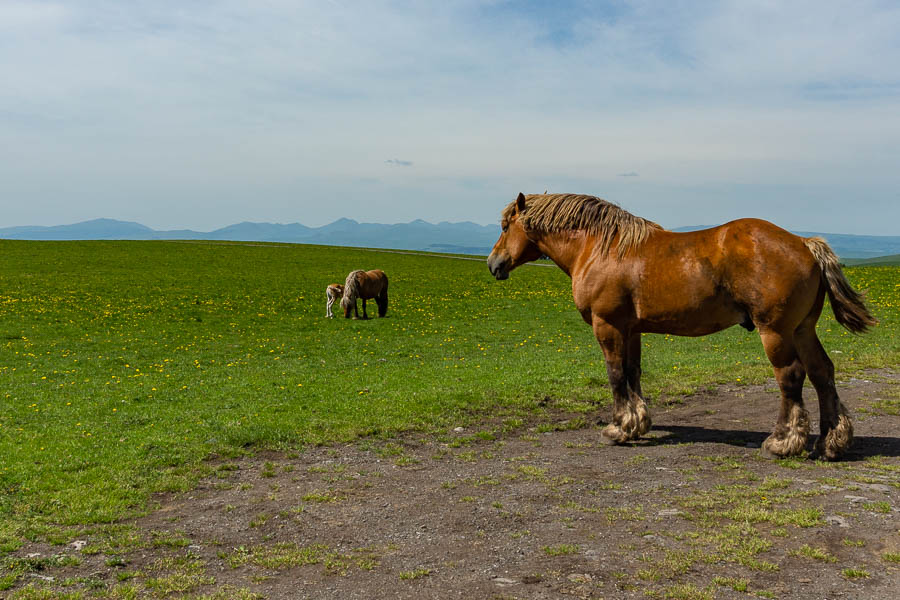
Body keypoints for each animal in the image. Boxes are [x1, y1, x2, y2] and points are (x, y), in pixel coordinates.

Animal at [487, 193, 876, 461]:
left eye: (506, 226)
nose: (494, 264)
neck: (600, 247)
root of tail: (805, 244)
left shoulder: (608, 325)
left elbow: (615, 375)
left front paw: (618, 428)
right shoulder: (632, 329)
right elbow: (633, 372)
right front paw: (637, 424)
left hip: (776, 332)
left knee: (791, 377)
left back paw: (783, 441)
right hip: (802, 329)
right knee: (823, 373)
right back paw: (830, 442)